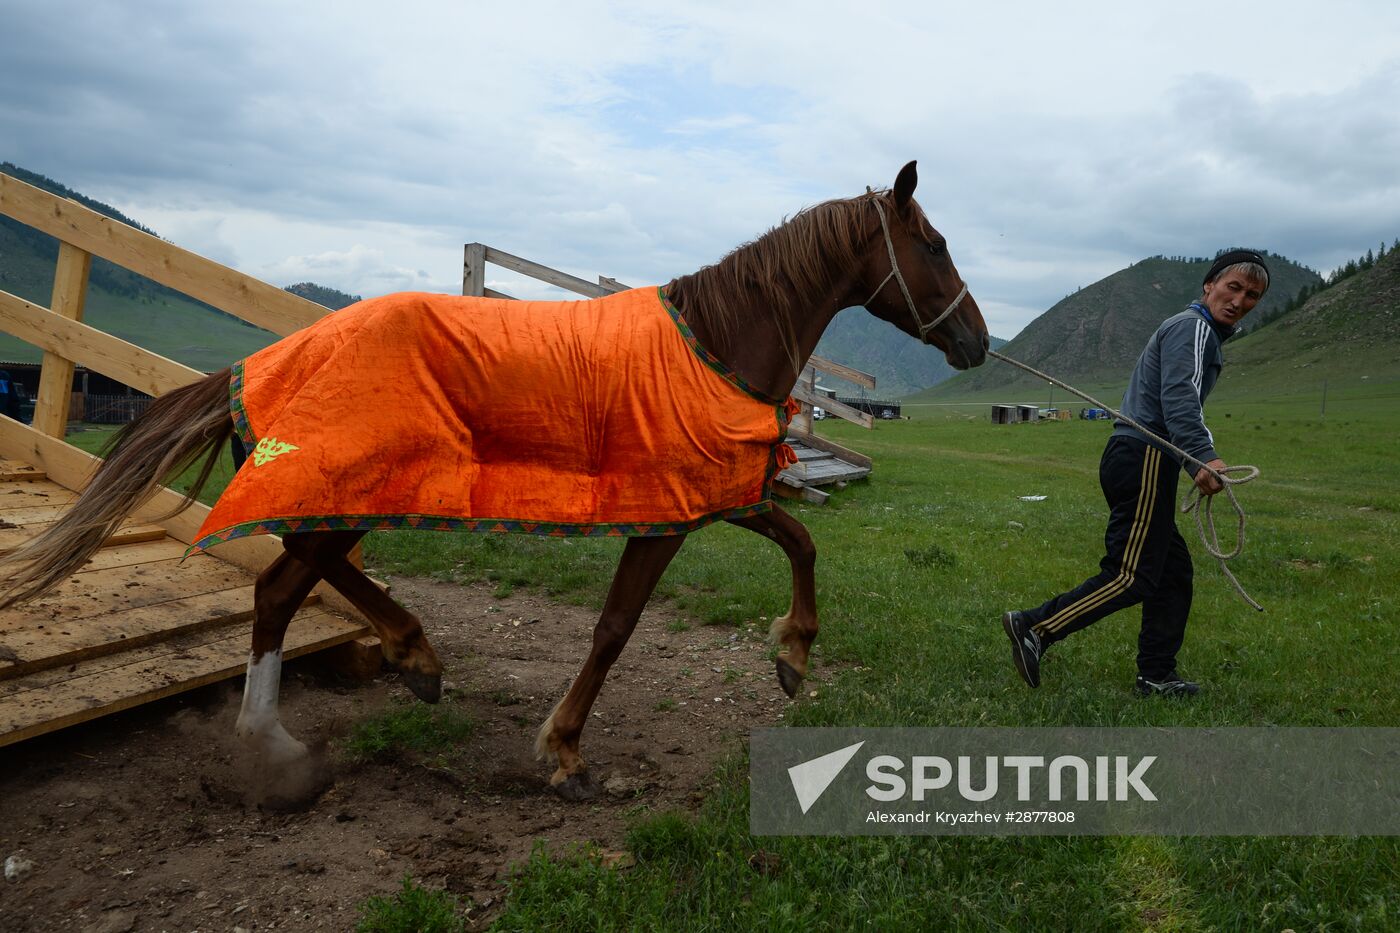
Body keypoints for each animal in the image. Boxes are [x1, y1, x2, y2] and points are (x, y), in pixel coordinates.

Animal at [0, 161, 985, 801]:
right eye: (934, 242)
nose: (976, 341)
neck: (714, 342)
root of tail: (266, 360)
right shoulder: (664, 517)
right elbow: (617, 627)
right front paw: (566, 752)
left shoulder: (715, 497)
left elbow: (802, 540)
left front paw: (791, 656)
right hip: (346, 496)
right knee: (279, 588)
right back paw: (273, 743)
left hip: (353, 497)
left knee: (308, 571)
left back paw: (414, 653)